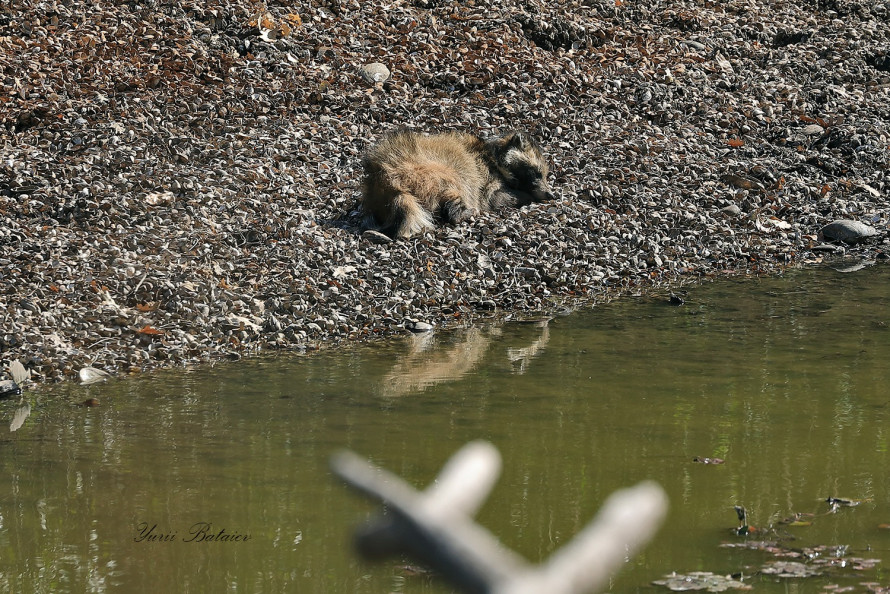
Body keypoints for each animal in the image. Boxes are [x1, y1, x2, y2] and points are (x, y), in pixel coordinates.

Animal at [358, 130, 552, 238]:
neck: (493, 155)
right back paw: (463, 212)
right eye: (536, 173)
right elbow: (497, 197)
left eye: (545, 174)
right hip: (430, 172)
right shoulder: (488, 179)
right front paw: (526, 197)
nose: (551, 195)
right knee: (455, 187)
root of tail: (383, 178)